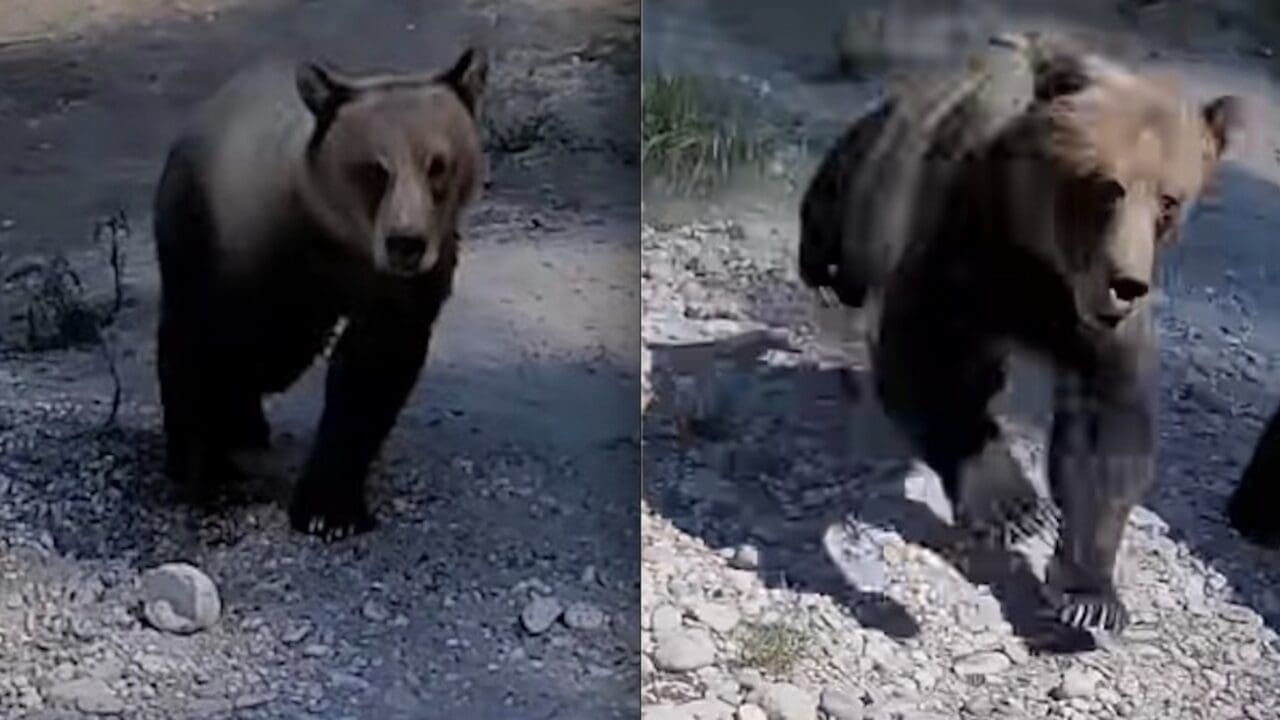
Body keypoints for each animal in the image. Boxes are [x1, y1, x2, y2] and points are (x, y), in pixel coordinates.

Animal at [152, 46, 488, 540]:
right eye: (375, 169)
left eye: (438, 165)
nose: (405, 243)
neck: (337, 235)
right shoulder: (245, 245)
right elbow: (208, 348)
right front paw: (209, 473)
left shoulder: (397, 286)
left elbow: (369, 377)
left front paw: (330, 510)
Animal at [799, 36, 1240, 632]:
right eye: (1109, 186)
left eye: (1169, 202)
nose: (1126, 284)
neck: (1041, 255)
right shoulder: (965, 239)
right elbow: (925, 353)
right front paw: (1013, 506)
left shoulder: (1091, 318)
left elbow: (1107, 425)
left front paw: (1088, 595)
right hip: (869, 175)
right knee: (833, 215)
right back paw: (824, 277)